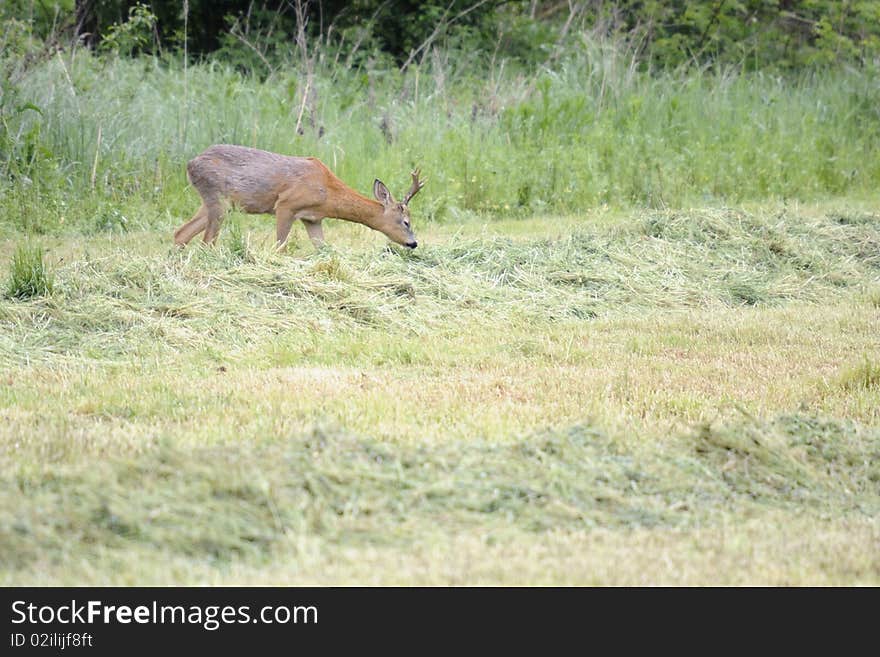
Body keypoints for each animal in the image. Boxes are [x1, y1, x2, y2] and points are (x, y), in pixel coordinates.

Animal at [173, 145, 426, 250]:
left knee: (181, 233)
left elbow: (323, 249)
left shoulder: (313, 219)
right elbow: (280, 248)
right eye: (406, 222)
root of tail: (190, 164)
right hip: (217, 198)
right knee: (207, 242)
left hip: (214, 202)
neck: (328, 193)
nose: (413, 243)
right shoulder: (286, 205)